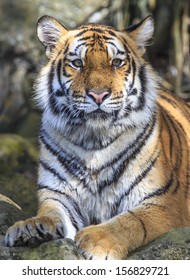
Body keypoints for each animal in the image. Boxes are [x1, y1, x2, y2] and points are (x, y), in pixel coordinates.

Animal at [4, 15, 190, 260]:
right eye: (77, 63)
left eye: (117, 62)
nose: (98, 95)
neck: (94, 139)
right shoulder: (59, 194)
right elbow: (50, 212)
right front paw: (29, 228)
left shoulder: (164, 201)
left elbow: (131, 221)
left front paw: (96, 240)